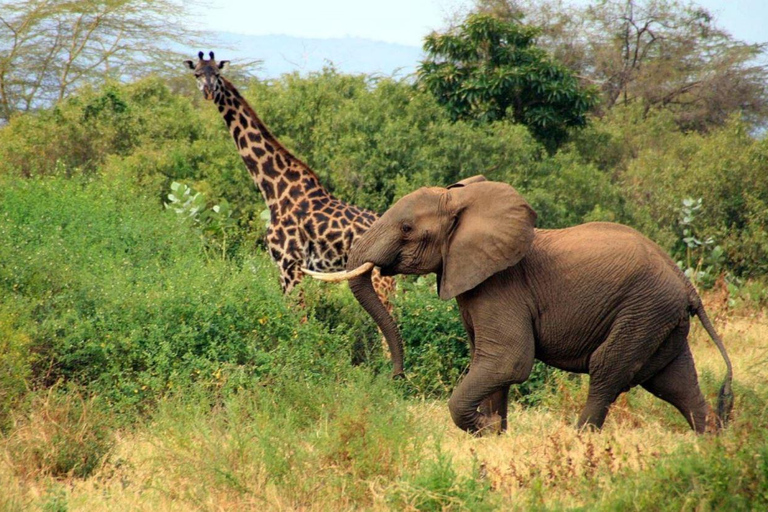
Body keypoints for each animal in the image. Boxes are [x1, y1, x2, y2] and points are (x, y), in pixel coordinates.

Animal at [183, 52, 392, 316]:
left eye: (218, 74)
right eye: (197, 74)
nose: (209, 92)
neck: (273, 190)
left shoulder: (290, 264)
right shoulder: (287, 268)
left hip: (380, 277)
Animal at [304, 178, 736, 434]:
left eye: (407, 229)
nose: (396, 376)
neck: (462, 201)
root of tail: (687, 283)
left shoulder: (502, 285)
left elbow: (507, 360)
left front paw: (484, 427)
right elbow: (489, 361)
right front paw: (494, 432)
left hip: (643, 310)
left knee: (609, 370)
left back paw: (579, 442)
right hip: (660, 319)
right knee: (674, 381)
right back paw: (712, 443)